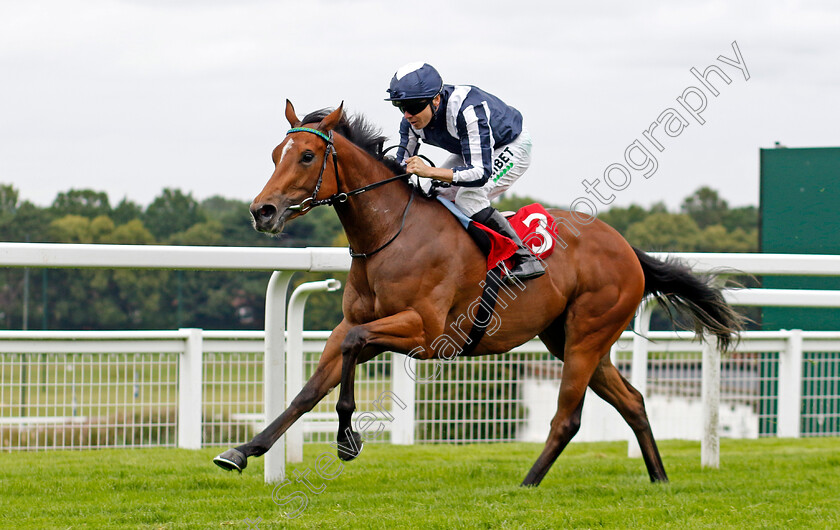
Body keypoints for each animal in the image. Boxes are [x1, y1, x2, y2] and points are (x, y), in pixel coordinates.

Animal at [217, 101, 740, 484]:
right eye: (275, 155)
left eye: (307, 156)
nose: (262, 211)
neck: (391, 234)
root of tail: (627, 248)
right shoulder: (358, 322)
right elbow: (309, 389)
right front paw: (243, 450)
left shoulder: (425, 334)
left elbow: (351, 348)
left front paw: (347, 440)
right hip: (570, 338)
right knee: (631, 401)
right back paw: (659, 479)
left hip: (588, 334)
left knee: (567, 418)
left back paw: (526, 484)